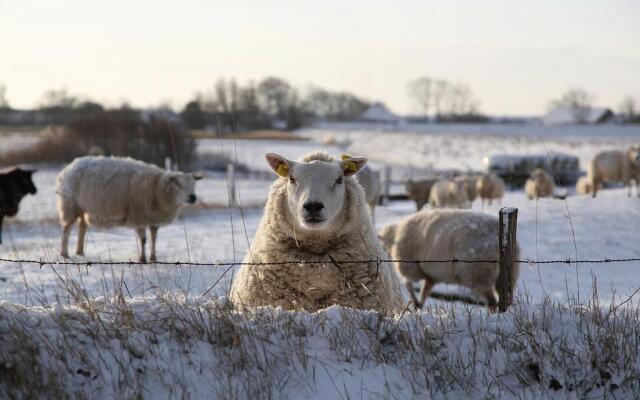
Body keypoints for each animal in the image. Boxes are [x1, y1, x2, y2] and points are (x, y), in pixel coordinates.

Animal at [56, 156, 200, 262]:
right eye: (178, 184)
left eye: (194, 183)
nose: (193, 197)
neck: (157, 187)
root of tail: (67, 168)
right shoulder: (139, 216)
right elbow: (143, 240)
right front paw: (142, 259)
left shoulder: (153, 220)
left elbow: (153, 239)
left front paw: (153, 258)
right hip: (70, 205)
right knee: (66, 230)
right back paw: (64, 254)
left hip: (82, 207)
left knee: (82, 227)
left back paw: (80, 252)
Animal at [380, 211, 520, 310]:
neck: (393, 237)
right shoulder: (431, 276)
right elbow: (425, 290)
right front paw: (419, 305)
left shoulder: (409, 266)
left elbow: (408, 284)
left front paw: (415, 304)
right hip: (508, 275)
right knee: (507, 298)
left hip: (478, 274)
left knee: (491, 301)